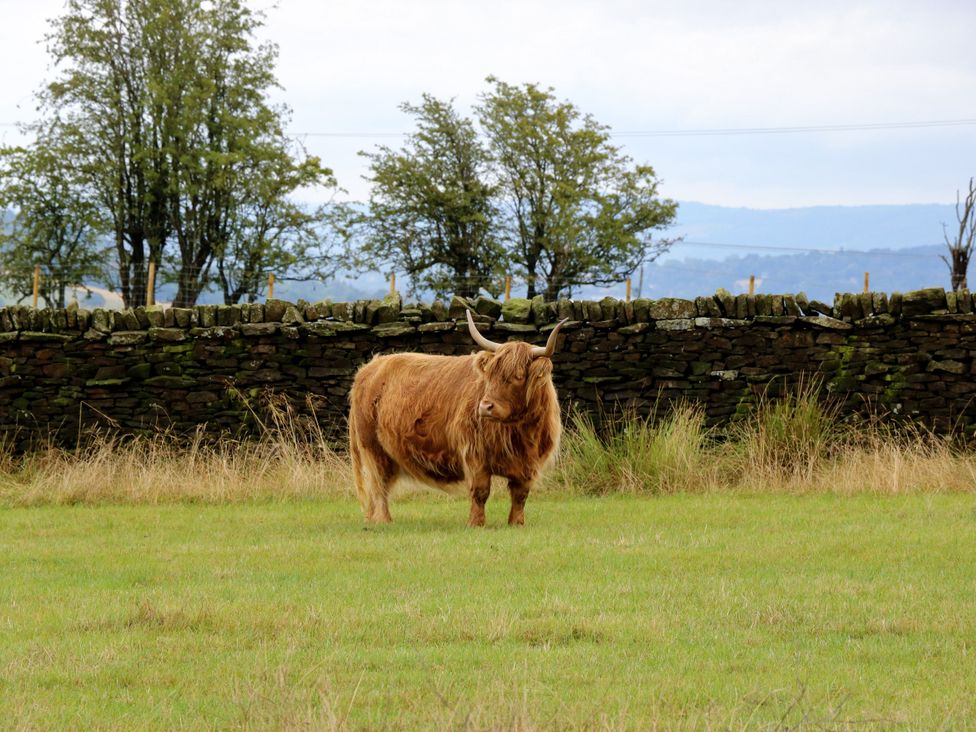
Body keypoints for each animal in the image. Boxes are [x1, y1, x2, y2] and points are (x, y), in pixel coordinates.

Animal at [348, 310, 567, 527]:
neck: (520, 433)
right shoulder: (475, 454)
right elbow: (480, 492)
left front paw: (516, 523)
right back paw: (383, 520)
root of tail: (369, 367)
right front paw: (476, 523)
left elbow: (520, 495)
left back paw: (373, 519)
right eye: (490, 375)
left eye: (519, 376)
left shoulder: (529, 464)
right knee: (379, 484)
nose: (485, 407)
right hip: (373, 448)